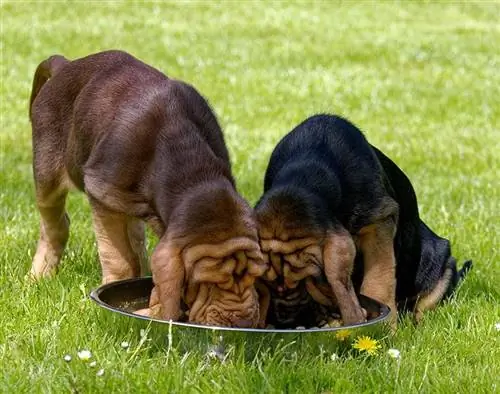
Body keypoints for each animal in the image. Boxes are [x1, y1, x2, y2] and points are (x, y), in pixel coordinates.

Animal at [29, 50, 268, 326]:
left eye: (255, 277)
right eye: (207, 283)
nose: (243, 323)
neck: (192, 172)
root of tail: (64, 65)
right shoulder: (101, 191)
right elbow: (119, 260)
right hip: (48, 169)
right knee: (55, 223)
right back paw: (39, 274)